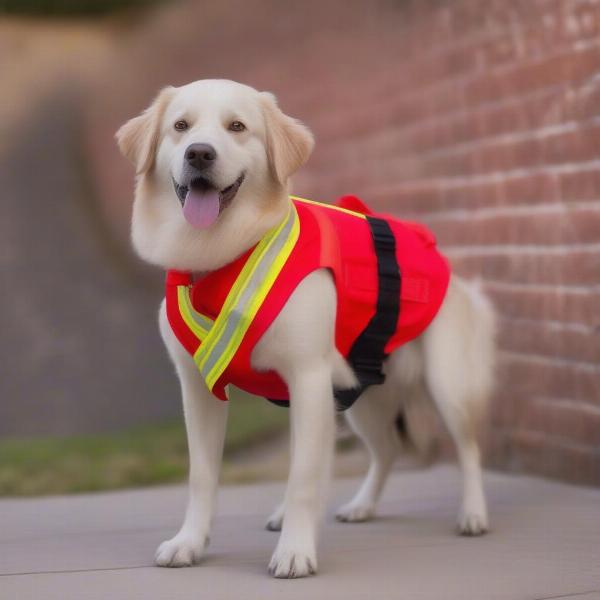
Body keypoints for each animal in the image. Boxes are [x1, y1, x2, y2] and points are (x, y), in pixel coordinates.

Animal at [115, 78, 494, 576]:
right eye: (181, 127)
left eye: (237, 127)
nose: (199, 153)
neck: (220, 260)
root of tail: (438, 254)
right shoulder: (199, 388)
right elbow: (203, 475)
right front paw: (190, 542)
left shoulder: (309, 377)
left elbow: (303, 478)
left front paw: (295, 550)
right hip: (358, 398)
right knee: (387, 450)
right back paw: (361, 505)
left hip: (445, 384)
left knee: (468, 448)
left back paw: (473, 513)